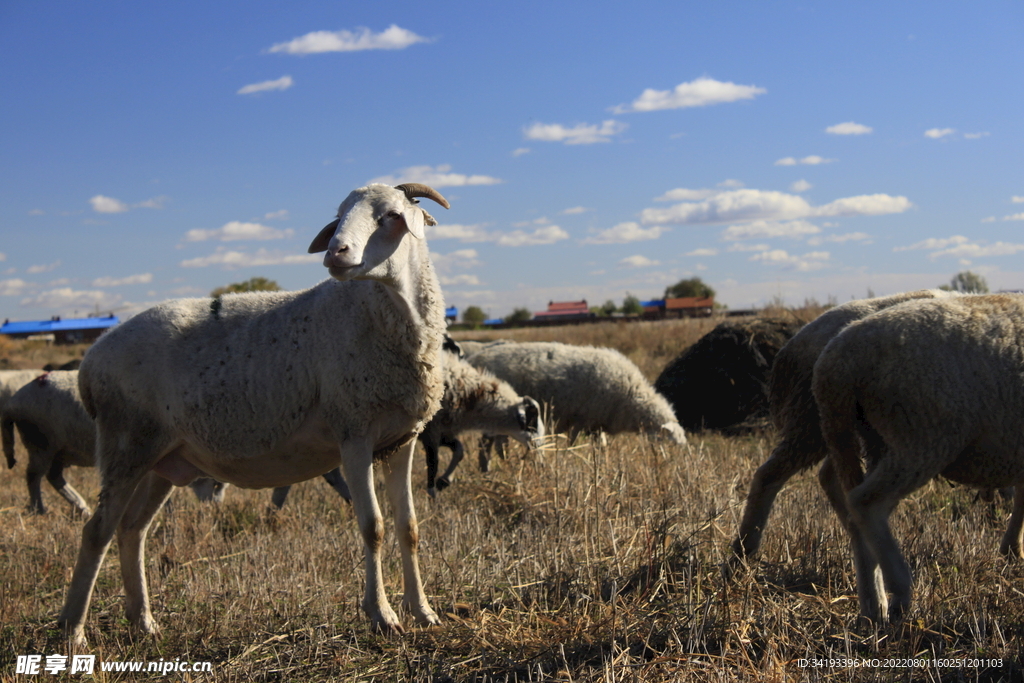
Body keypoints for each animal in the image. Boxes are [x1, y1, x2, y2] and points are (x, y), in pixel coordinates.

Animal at [58, 183, 452, 647]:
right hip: (125, 443)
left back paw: (143, 622)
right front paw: (382, 615)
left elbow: (409, 528)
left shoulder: (401, 439)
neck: (382, 313)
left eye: (391, 215)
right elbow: (372, 527)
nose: (335, 252)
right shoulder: (353, 433)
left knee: (132, 530)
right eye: (338, 216)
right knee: (97, 531)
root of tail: (91, 358)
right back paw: (72, 631)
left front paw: (423, 612)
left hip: (162, 457)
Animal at [468, 339, 684, 448]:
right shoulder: (580, 420)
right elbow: (573, 445)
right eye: (671, 444)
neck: (630, 395)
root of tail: (475, 357)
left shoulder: (596, 423)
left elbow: (601, 445)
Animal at [729, 290, 958, 565]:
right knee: (769, 475)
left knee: (830, 476)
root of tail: (790, 348)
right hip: (812, 419)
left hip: (838, 428)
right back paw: (742, 552)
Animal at [811, 294, 1024, 626]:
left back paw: (874, 604)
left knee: (853, 509)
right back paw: (900, 591)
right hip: (921, 435)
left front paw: (1013, 551)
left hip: (873, 437)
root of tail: (836, 362)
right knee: (865, 502)